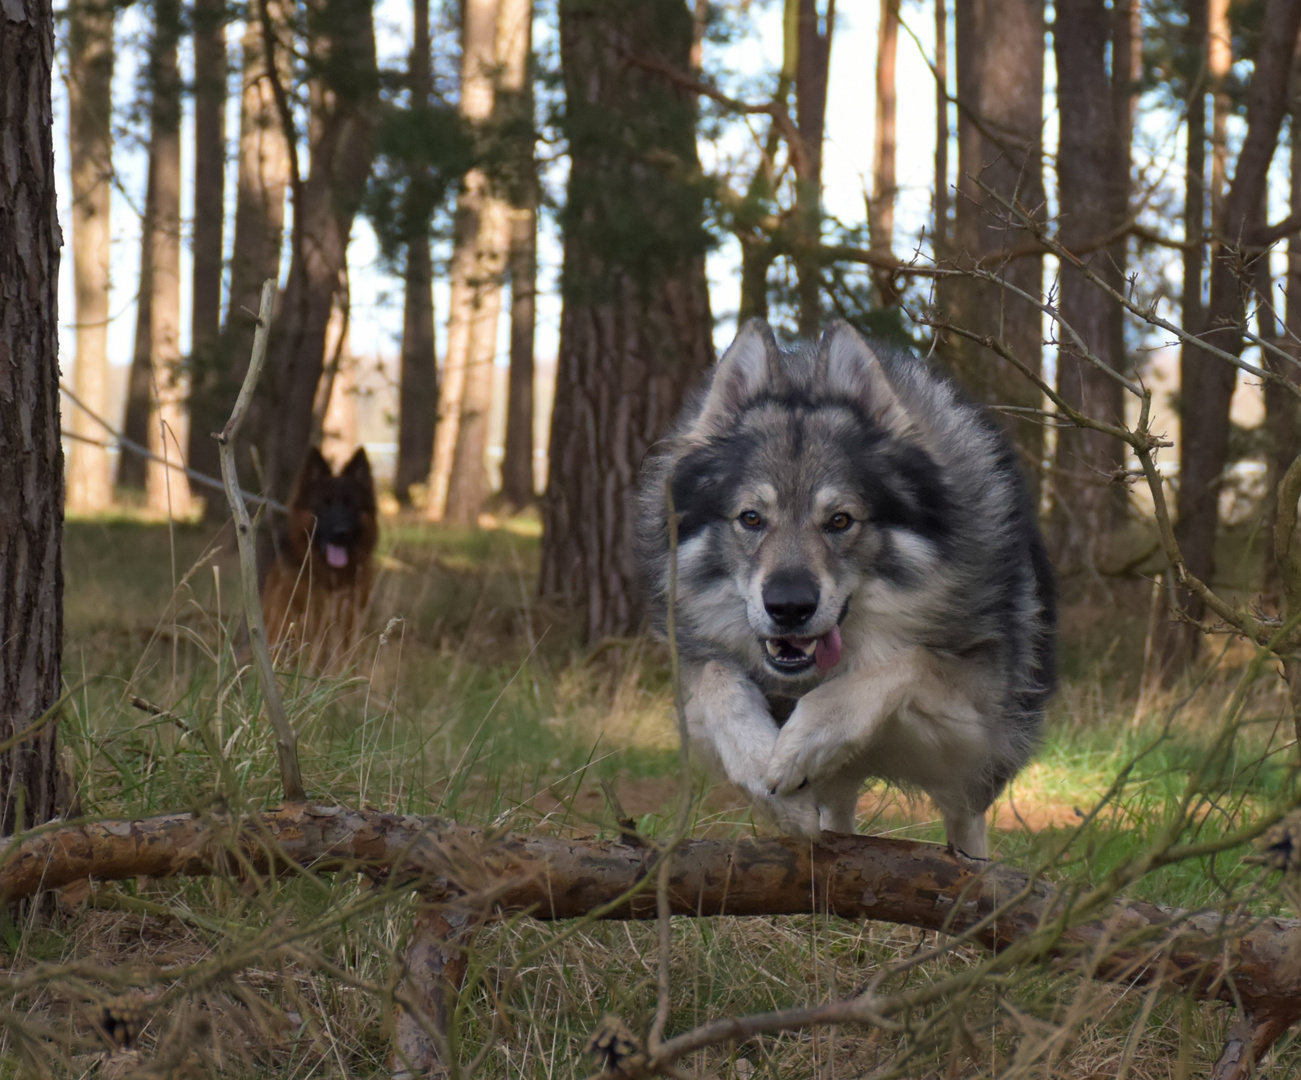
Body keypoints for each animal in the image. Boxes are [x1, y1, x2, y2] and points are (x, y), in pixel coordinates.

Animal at [632, 317, 1056, 858]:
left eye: (840, 520)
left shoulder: (977, 726)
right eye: (750, 518)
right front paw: (763, 769)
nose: (789, 607)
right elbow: (716, 680)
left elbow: (907, 660)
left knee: (966, 826)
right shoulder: (695, 677)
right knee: (838, 815)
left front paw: (803, 739)